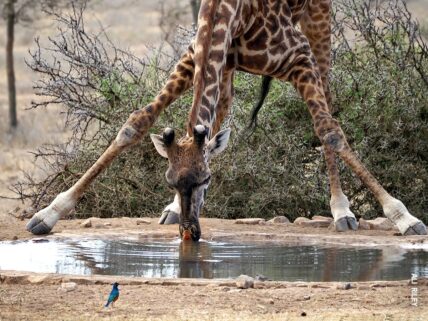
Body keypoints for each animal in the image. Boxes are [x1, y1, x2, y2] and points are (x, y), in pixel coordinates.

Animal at [25, 0, 424, 240]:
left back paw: (341, 209)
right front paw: (49, 213)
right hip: (228, 69)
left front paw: (402, 215)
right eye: (169, 180)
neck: (230, 10)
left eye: (207, 179)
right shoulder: (195, 57)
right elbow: (134, 124)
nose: (190, 234)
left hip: (318, 25)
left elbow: (330, 131)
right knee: (216, 123)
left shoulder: (298, 58)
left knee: (328, 109)